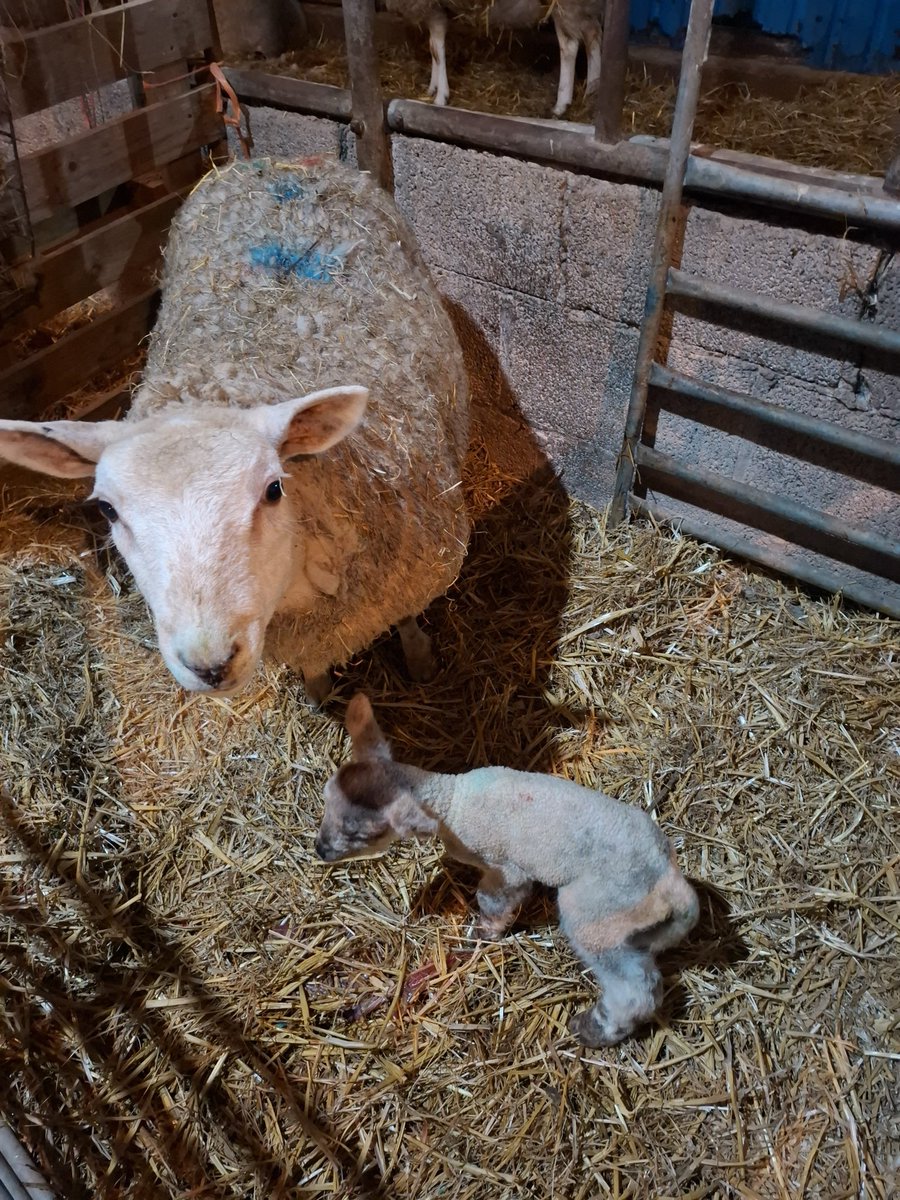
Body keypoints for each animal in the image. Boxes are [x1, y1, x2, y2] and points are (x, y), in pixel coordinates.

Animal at [0, 156, 470, 702]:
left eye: (273, 490)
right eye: (108, 511)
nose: (210, 664)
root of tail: (269, 160)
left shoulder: (415, 568)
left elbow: (409, 619)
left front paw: (421, 661)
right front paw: (317, 695)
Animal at [316, 693, 699, 1046]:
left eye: (361, 833)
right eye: (326, 798)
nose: (320, 850)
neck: (452, 801)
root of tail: (669, 880)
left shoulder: (506, 869)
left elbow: (494, 899)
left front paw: (482, 933)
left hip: (595, 913)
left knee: (634, 990)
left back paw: (591, 1030)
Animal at [385, 0, 605, 118]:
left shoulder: (431, 7)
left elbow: (437, 49)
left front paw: (441, 97)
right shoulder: (435, 9)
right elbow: (434, 48)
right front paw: (433, 88)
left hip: (565, 5)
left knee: (570, 46)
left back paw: (561, 104)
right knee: (593, 35)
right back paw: (592, 89)